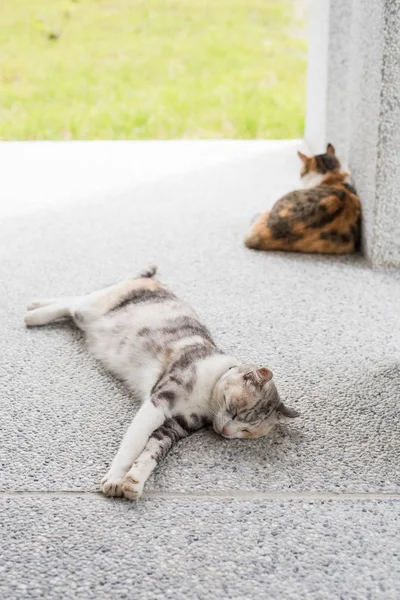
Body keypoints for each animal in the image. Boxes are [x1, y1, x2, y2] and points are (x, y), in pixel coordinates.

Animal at [24, 268, 300, 502]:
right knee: (73, 301)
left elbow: (152, 451)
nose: (227, 432)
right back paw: (33, 313)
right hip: (92, 308)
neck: (208, 393)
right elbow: (133, 444)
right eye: (235, 410)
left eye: (247, 431)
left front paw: (133, 482)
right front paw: (115, 478)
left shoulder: (177, 425)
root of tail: (154, 282)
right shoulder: (158, 402)